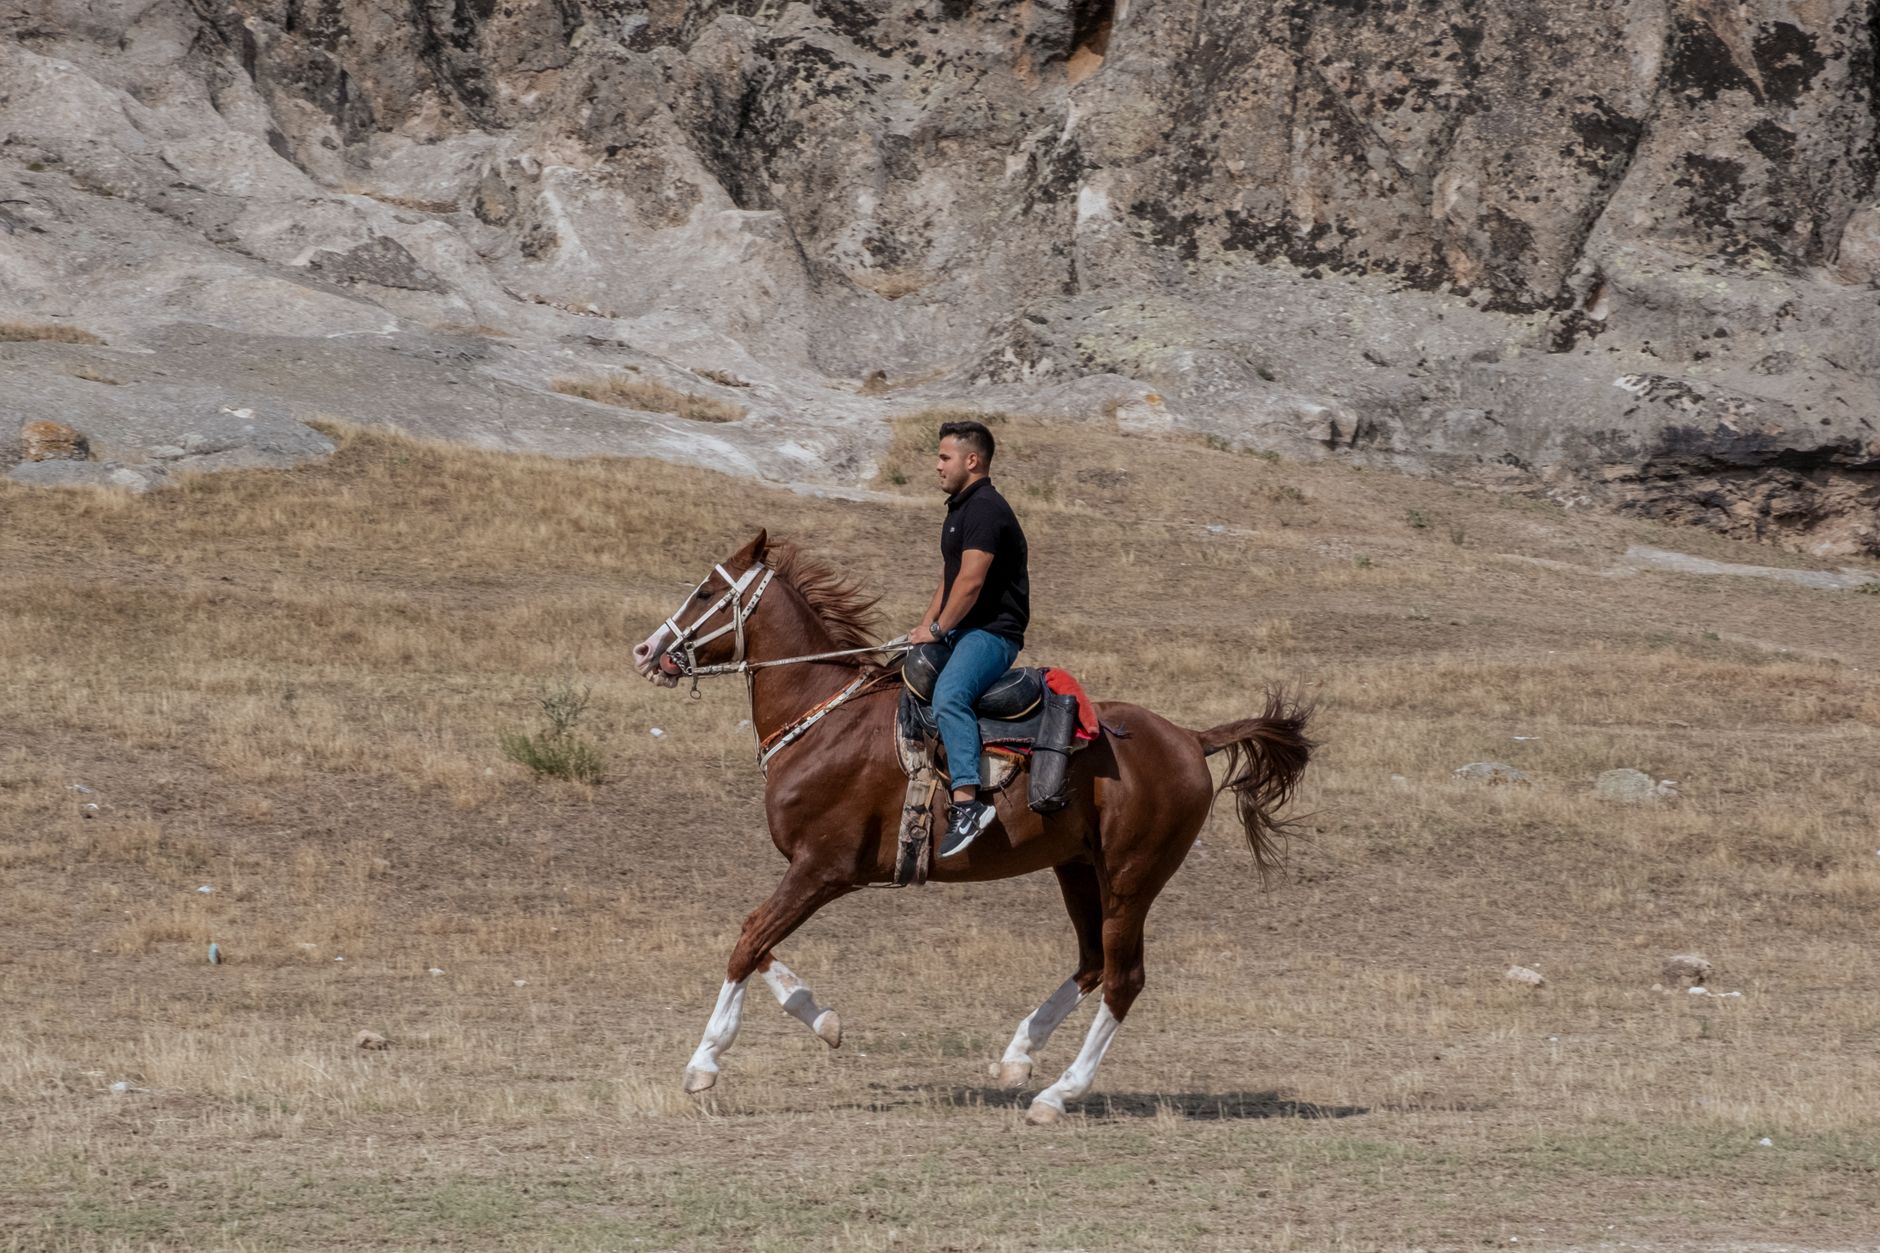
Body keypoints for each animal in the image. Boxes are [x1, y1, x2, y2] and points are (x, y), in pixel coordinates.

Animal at [630, 530, 1314, 1125]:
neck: (825, 719)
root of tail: (1190, 739)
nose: (645, 652)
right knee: (1092, 962)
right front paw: (823, 1020)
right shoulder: (813, 874)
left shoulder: (823, 869)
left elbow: (748, 940)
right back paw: (1019, 1056)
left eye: (702, 593)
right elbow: (757, 938)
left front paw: (705, 1061)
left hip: (1131, 879)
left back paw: (1058, 1094)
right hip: (1078, 868)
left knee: (1124, 980)